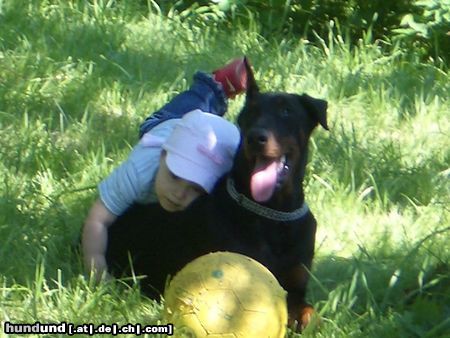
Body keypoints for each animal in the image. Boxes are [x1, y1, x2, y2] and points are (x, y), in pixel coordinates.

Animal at [107, 62, 328, 332]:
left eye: (287, 111)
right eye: (250, 113)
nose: (256, 137)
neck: (273, 213)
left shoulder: (297, 285)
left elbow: (309, 311)